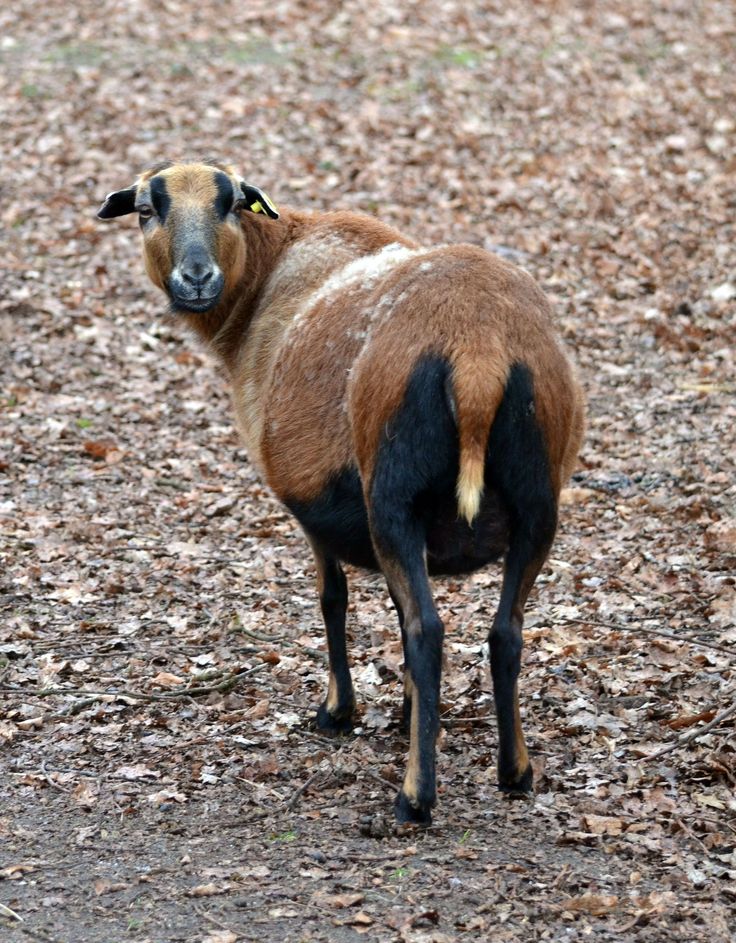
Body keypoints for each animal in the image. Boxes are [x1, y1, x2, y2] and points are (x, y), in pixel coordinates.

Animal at [98, 162, 584, 824]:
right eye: (148, 210)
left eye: (228, 204)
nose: (196, 278)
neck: (269, 273)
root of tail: (477, 354)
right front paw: (410, 716)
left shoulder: (311, 507)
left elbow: (334, 601)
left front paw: (339, 711)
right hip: (538, 501)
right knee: (505, 633)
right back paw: (515, 773)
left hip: (393, 495)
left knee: (427, 633)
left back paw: (415, 797)